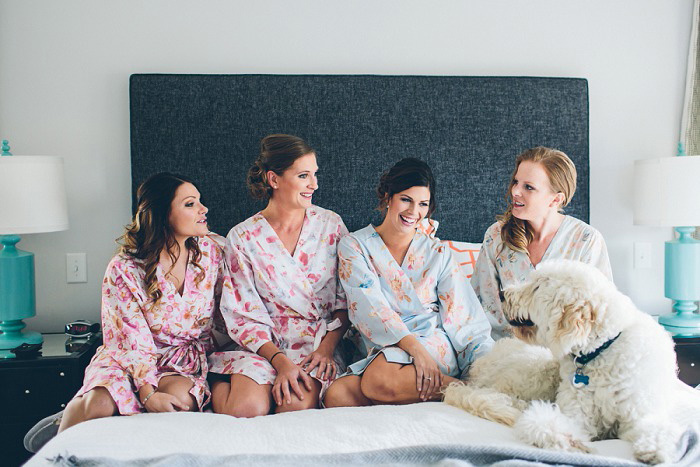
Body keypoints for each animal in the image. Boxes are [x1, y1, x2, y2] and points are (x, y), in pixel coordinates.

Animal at [446, 260, 688, 464]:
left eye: (537, 287)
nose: (503, 293)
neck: (601, 351)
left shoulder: (642, 413)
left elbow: (656, 429)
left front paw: (654, 449)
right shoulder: (576, 414)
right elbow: (546, 423)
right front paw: (569, 440)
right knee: (495, 395)